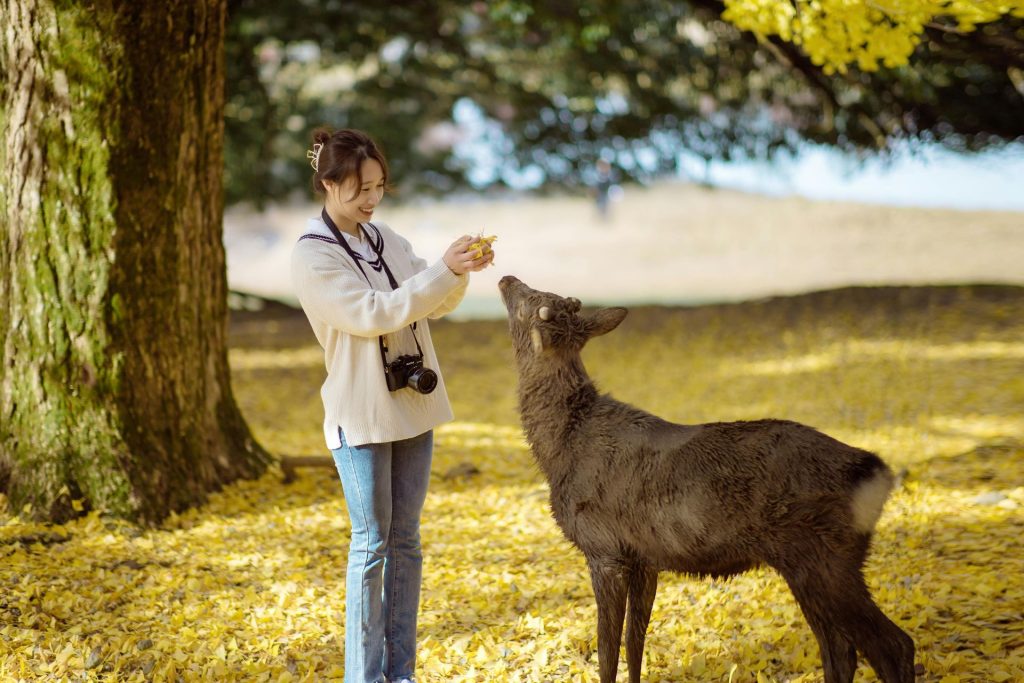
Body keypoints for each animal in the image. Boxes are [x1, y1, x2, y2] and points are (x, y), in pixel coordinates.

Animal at [499, 274, 917, 683]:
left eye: (532, 299)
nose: (506, 277)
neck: (559, 449)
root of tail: (877, 473)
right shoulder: (644, 557)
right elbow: (635, 644)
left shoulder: (604, 549)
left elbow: (607, 652)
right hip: (811, 563)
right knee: (839, 650)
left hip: (826, 556)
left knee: (893, 645)